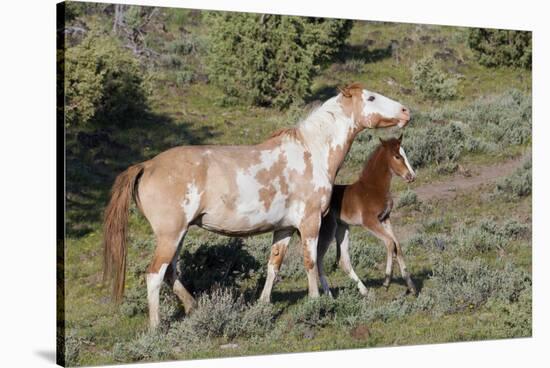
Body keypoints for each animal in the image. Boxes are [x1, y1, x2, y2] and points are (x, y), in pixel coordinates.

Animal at [314, 135, 418, 296]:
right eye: (397, 156)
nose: (411, 176)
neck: (373, 188)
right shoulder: (369, 222)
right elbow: (390, 243)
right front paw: (386, 281)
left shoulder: (385, 218)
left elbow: (397, 245)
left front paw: (411, 286)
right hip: (328, 230)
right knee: (318, 259)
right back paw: (329, 295)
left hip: (342, 228)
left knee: (343, 260)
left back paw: (364, 291)